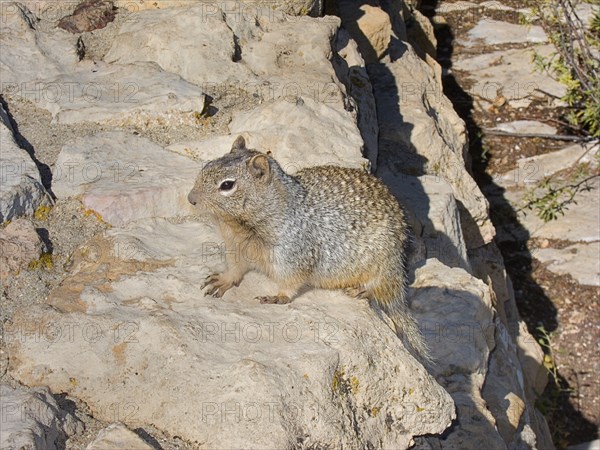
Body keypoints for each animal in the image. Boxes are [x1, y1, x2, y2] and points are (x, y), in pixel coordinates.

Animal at [188, 135, 432, 364]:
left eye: (227, 185)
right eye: (207, 166)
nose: (190, 199)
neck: (241, 226)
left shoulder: (292, 253)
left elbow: (291, 282)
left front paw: (277, 297)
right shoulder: (235, 247)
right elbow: (235, 269)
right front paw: (221, 280)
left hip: (383, 266)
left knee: (383, 290)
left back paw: (361, 290)